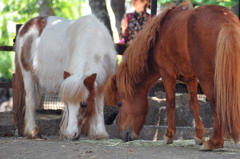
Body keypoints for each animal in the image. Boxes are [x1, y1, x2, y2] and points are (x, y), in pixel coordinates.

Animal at [104, 0, 240, 150]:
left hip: (207, 78)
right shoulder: (190, 78)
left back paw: (214, 142)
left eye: (120, 103)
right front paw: (199, 136)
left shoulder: (167, 75)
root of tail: (226, 21)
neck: (157, 37)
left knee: (216, 103)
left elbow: (170, 103)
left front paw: (169, 135)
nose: (123, 135)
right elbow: (193, 104)